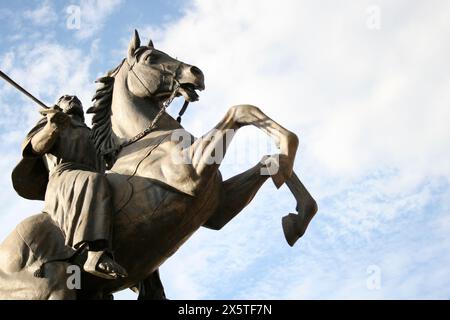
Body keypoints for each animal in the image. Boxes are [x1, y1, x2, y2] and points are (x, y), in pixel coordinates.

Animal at [0, 30, 318, 300]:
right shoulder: (190, 175)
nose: (197, 72)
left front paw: (298, 215)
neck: (147, 138)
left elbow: (268, 161)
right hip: (52, 289)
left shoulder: (218, 209)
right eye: (151, 58)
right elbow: (241, 111)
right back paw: (101, 260)